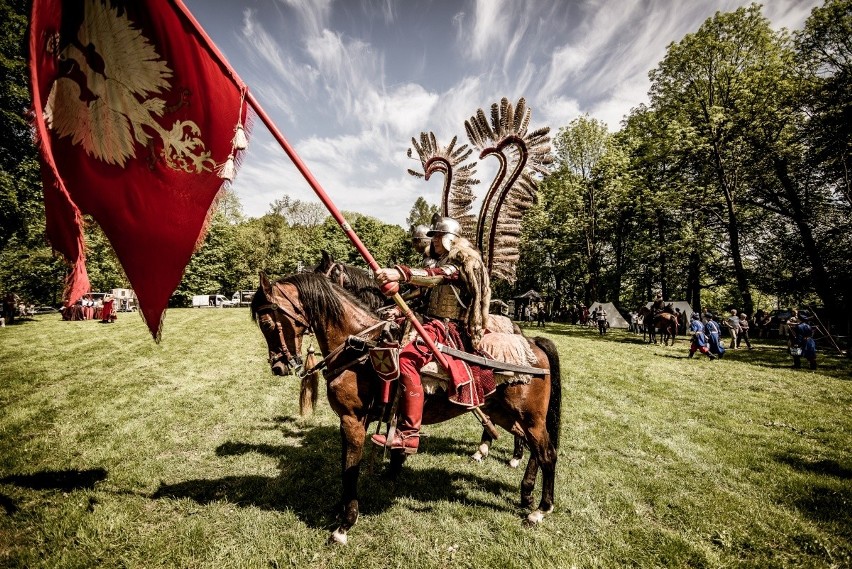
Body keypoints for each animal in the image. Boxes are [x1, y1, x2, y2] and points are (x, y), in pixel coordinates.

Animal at [250, 272, 564, 544]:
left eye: (267, 324)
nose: (278, 366)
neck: (359, 346)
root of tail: (533, 344)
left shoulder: (353, 421)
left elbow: (350, 469)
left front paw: (344, 525)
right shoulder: (354, 422)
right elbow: (346, 465)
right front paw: (343, 509)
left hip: (529, 416)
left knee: (547, 453)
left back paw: (540, 509)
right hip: (505, 413)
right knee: (532, 447)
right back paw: (525, 492)